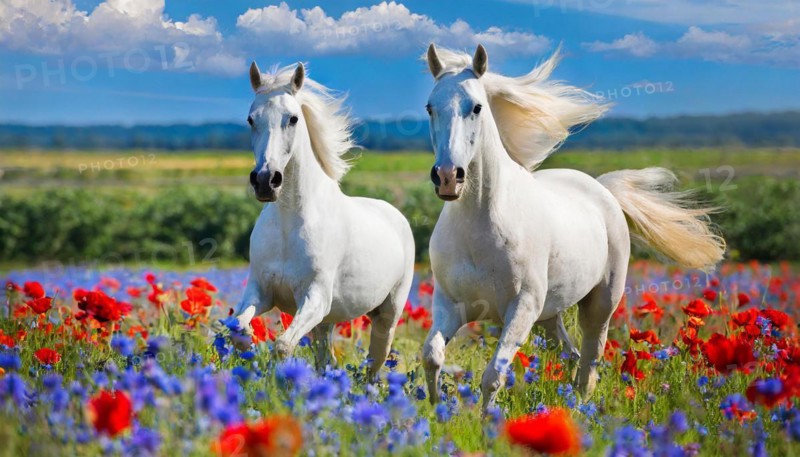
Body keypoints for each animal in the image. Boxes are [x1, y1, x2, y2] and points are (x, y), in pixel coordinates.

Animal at [231, 61, 415, 379]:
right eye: (251, 119)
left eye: (292, 118)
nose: (266, 181)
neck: (288, 225)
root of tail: (396, 215)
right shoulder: (261, 292)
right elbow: (239, 334)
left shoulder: (315, 296)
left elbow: (283, 346)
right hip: (326, 322)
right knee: (326, 360)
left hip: (386, 314)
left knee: (375, 363)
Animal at [420, 44, 725, 408]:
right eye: (430, 107)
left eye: (477, 107)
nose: (448, 177)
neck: (479, 227)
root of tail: (602, 188)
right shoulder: (450, 304)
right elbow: (431, 355)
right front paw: (437, 409)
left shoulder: (521, 308)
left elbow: (493, 375)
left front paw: (483, 422)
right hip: (548, 316)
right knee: (570, 355)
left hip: (600, 304)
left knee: (589, 361)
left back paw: (580, 408)